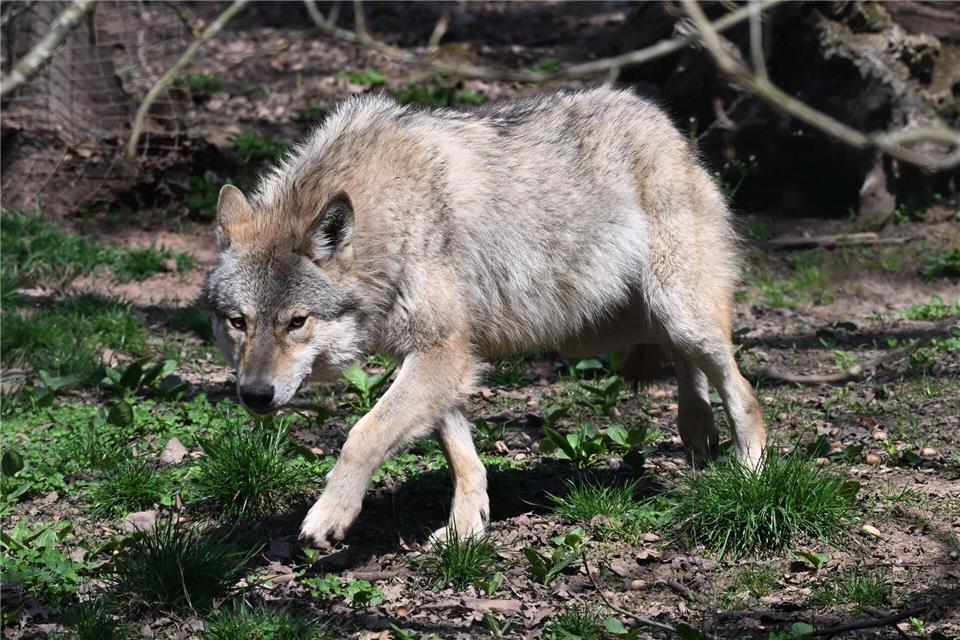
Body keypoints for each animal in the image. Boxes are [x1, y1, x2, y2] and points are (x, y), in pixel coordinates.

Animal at [203, 87, 766, 548]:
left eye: (296, 322)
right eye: (238, 322)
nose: (254, 395)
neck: (391, 219)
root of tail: (666, 123)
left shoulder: (443, 352)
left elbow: (364, 434)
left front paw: (330, 515)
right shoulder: (441, 358)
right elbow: (461, 455)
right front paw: (465, 528)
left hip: (673, 311)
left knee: (740, 386)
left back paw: (750, 473)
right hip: (596, 329)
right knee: (681, 358)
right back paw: (696, 430)